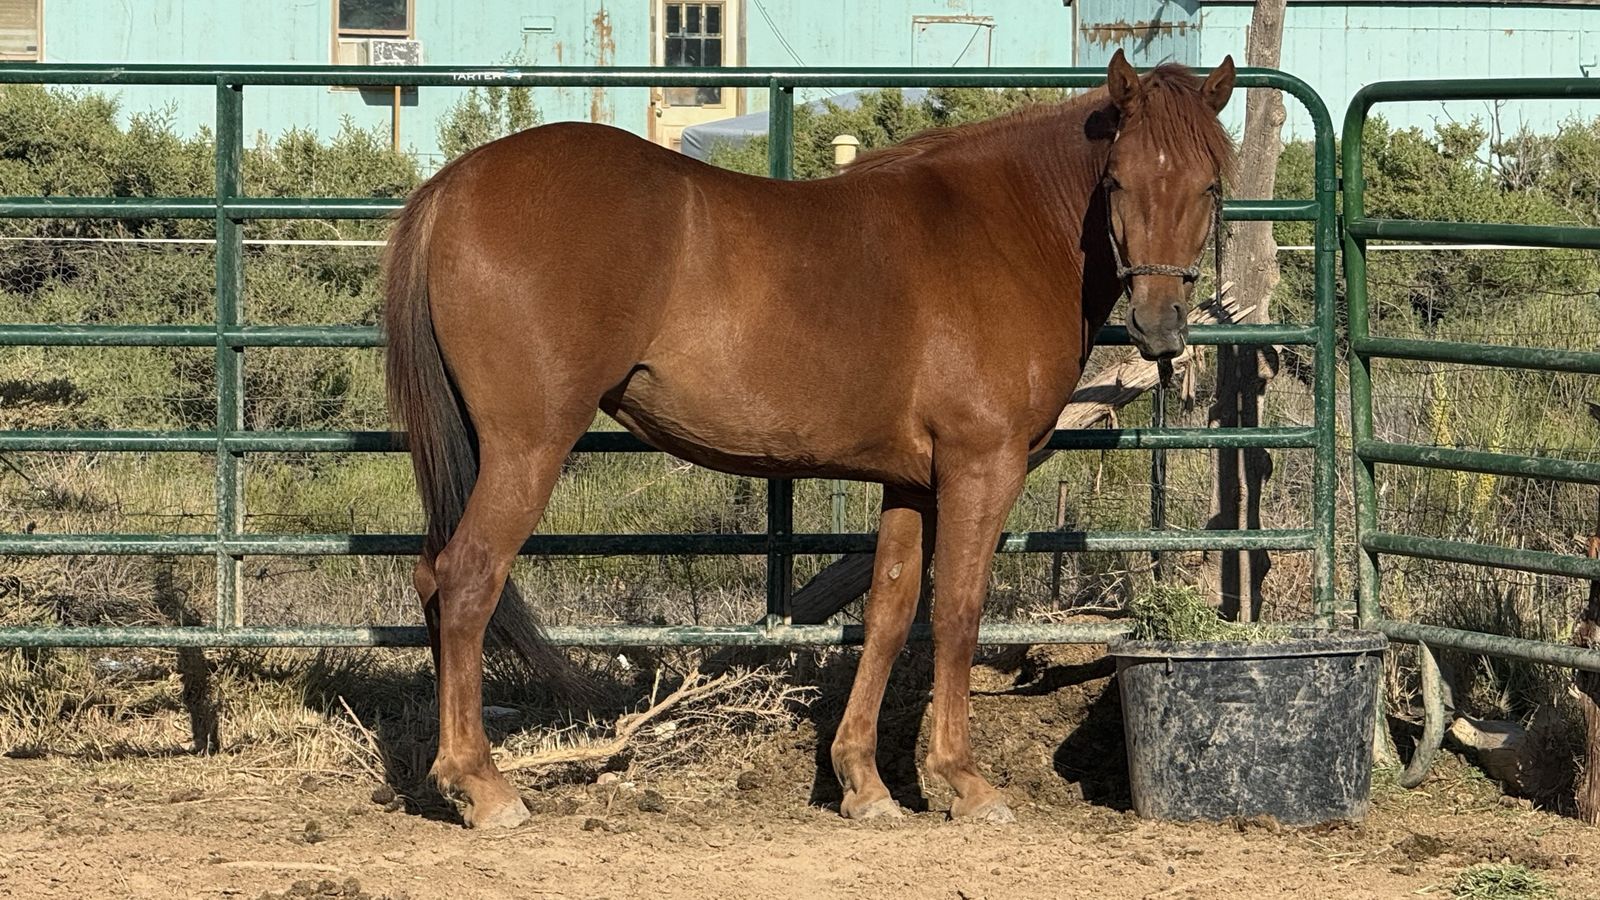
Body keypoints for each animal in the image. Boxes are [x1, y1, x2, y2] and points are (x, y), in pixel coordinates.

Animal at [382, 49, 1237, 828]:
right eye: (1118, 181)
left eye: (1211, 186)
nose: (1159, 328)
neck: (1003, 229)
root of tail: (453, 186)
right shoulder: (980, 467)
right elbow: (957, 613)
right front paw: (962, 780)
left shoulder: (913, 482)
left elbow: (889, 614)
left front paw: (864, 782)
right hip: (527, 447)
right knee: (467, 578)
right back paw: (483, 787)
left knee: (432, 577)